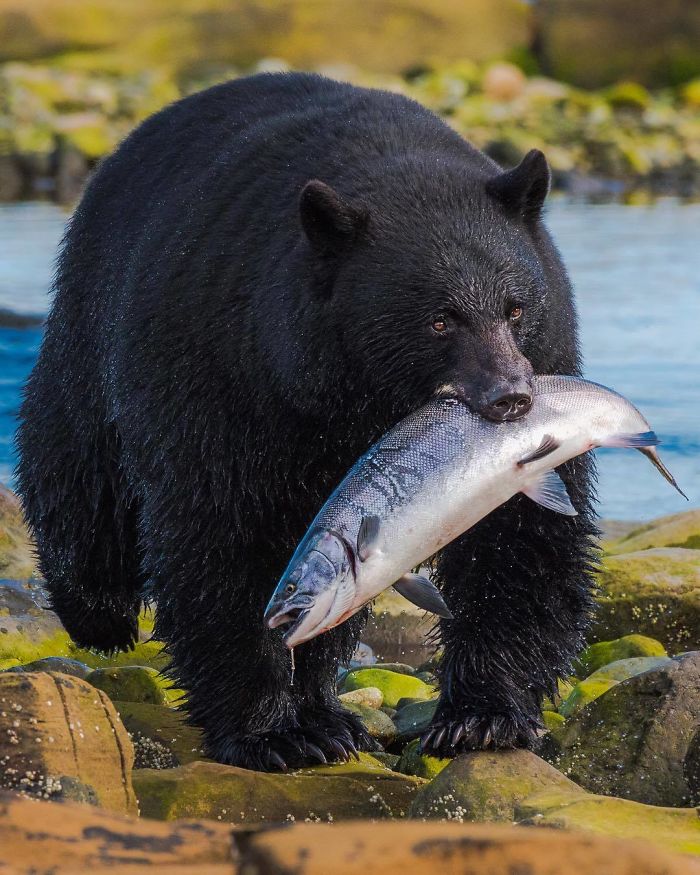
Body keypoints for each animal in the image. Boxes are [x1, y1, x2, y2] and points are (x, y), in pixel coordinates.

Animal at [16, 75, 596, 772]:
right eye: (439, 320)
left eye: (515, 308)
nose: (511, 398)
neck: (353, 399)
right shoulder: (229, 375)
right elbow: (227, 537)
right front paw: (274, 731)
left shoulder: (542, 377)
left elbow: (520, 538)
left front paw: (483, 716)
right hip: (96, 319)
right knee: (79, 469)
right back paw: (98, 614)